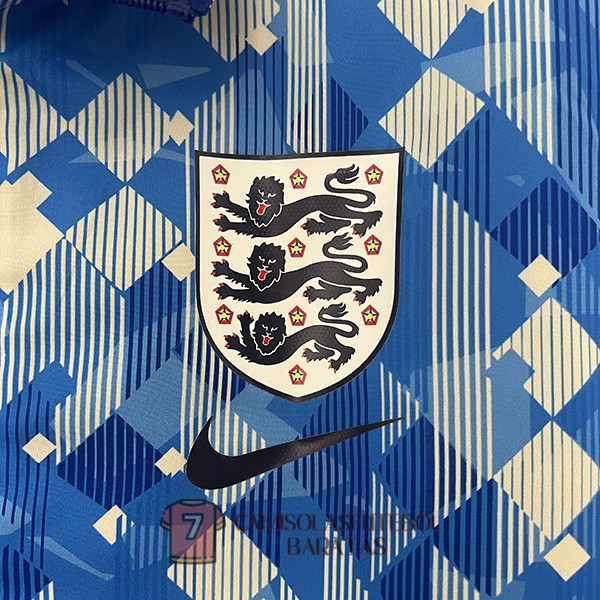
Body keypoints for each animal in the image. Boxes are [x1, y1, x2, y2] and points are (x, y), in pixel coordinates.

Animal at [212, 165, 383, 238]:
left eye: (272, 194)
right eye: (260, 191)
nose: (264, 198)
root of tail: (339, 198)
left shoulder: (263, 228)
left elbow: (241, 225)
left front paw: (225, 223)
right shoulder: (255, 218)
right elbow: (241, 210)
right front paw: (223, 201)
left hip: (334, 209)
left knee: (371, 213)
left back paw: (361, 227)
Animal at [213, 234, 381, 304]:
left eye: (272, 261)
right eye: (261, 258)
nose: (265, 265)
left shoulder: (263, 294)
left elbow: (242, 291)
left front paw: (226, 290)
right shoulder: (256, 284)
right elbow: (241, 277)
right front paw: (224, 269)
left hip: (335, 276)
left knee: (369, 281)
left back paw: (366, 292)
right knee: (343, 289)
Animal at [224, 303, 359, 372]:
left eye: (275, 328)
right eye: (264, 325)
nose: (268, 333)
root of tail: (331, 328)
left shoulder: (262, 355)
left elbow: (246, 342)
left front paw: (234, 340)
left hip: (325, 339)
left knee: (347, 349)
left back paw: (336, 363)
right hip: (318, 340)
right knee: (331, 351)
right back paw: (312, 355)